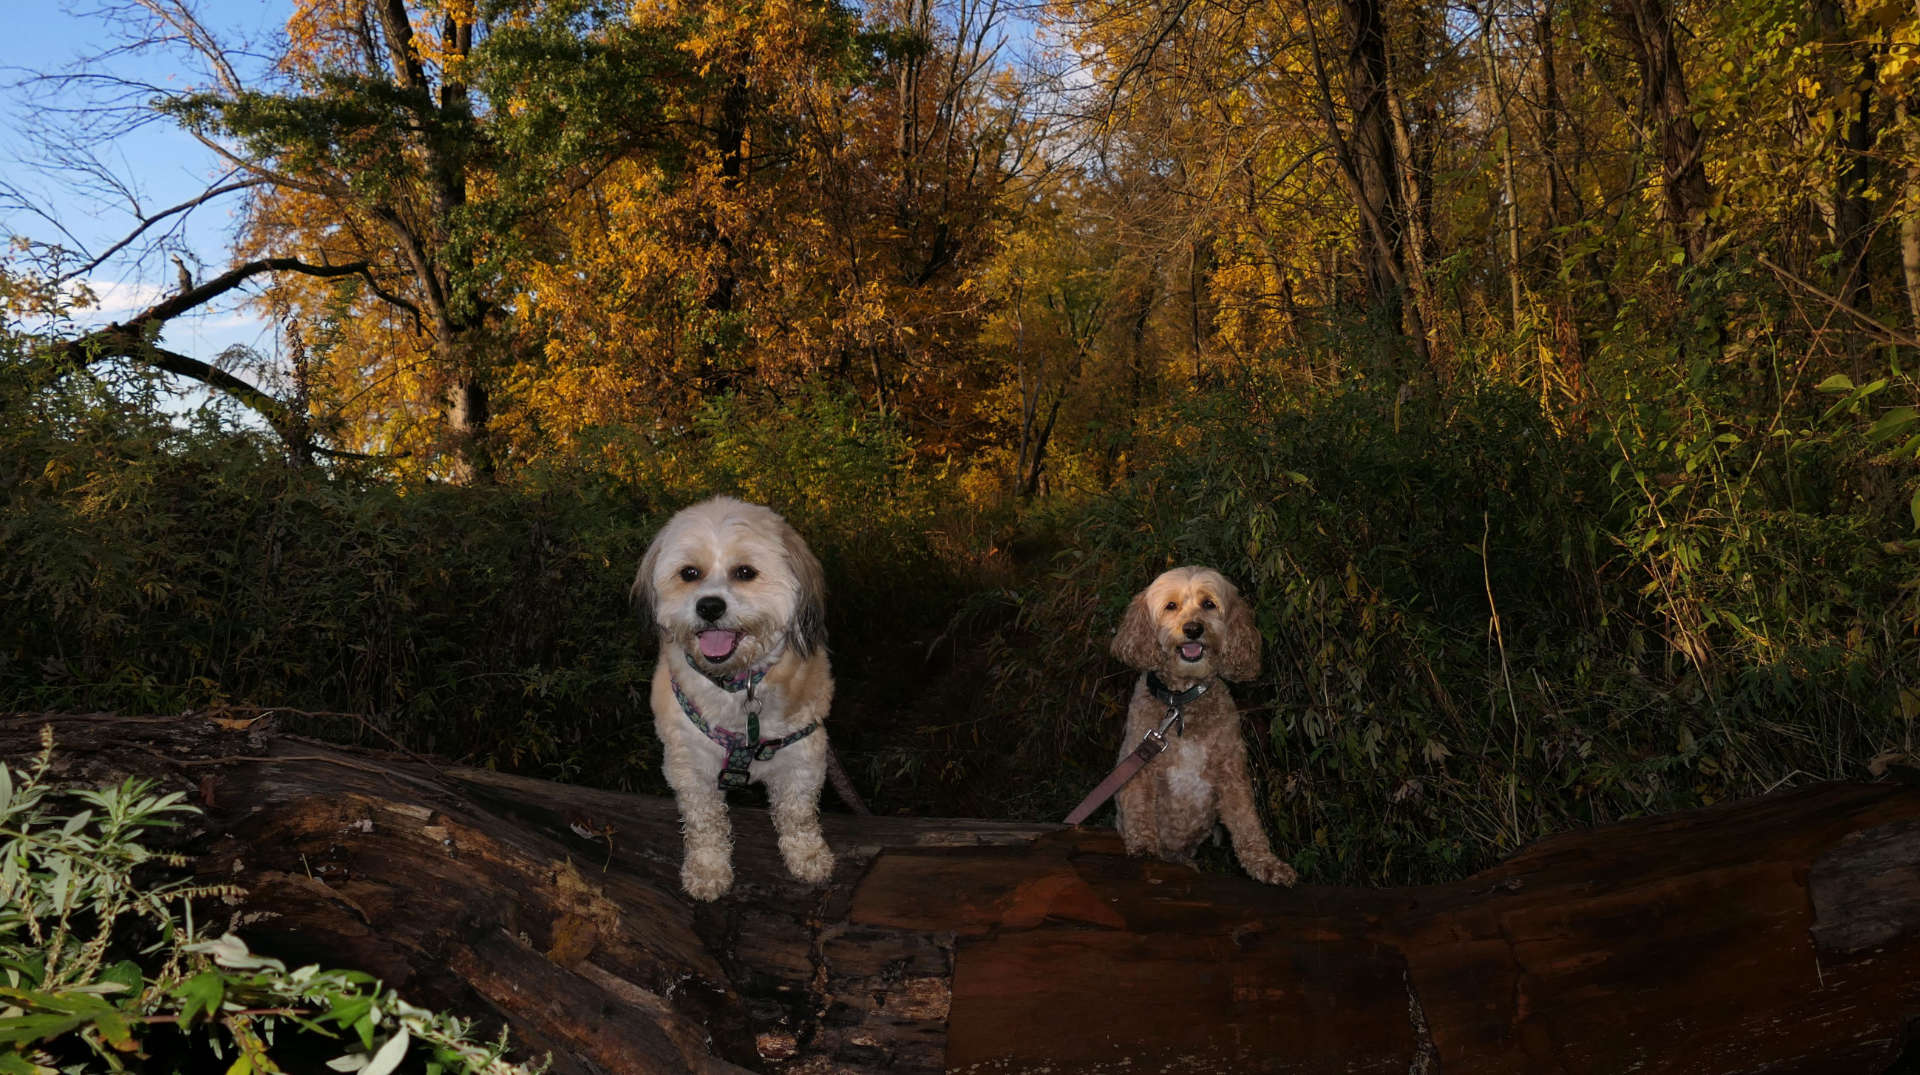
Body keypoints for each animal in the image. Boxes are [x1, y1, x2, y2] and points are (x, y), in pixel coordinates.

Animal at [633, 495, 837, 898]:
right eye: (689, 573)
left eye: (745, 572)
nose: (710, 606)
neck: (738, 684)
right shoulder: (690, 764)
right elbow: (705, 822)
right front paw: (708, 869)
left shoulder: (803, 754)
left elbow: (798, 814)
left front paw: (807, 857)